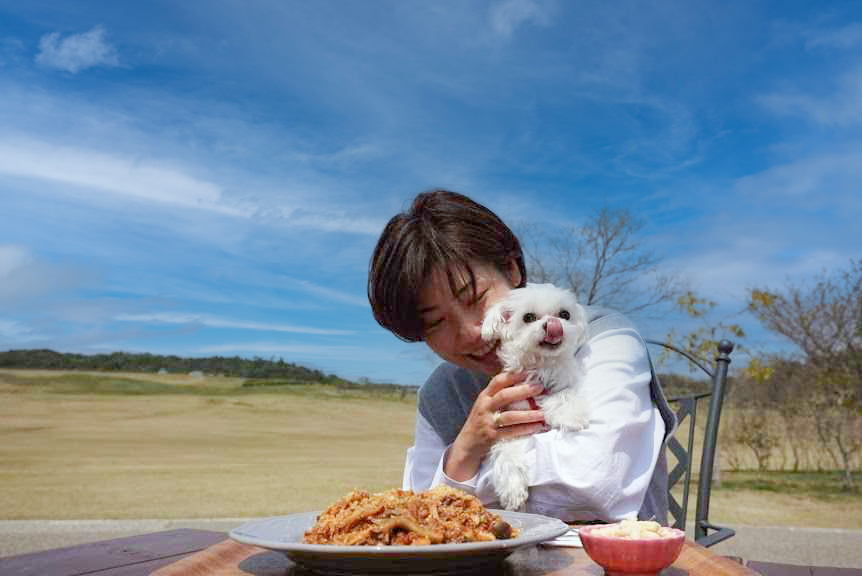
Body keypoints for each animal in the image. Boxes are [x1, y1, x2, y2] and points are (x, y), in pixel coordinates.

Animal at [480, 282, 592, 510]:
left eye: (565, 314)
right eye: (528, 317)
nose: (553, 324)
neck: (541, 366)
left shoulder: (564, 381)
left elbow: (564, 395)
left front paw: (570, 415)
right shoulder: (510, 425)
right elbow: (506, 452)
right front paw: (512, 490)